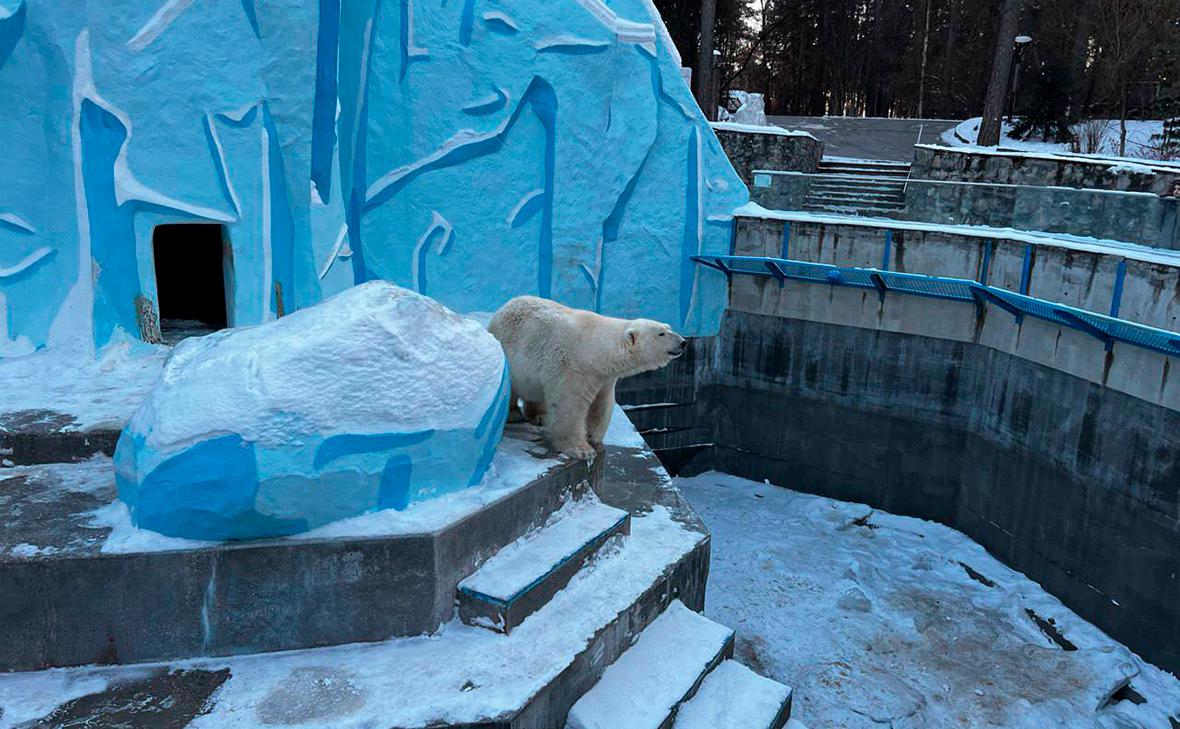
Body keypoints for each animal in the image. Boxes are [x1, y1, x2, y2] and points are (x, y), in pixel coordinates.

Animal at [490, 293, 689, 452]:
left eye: (669, 327)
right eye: (661, 333)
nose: (683, 342)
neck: (594, 349)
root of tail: (504, 306)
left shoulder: (604, 375)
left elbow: (602, 403)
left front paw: (594, 438)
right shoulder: (572, 368)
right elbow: (569, 405)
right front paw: (581, 450)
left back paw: (540, 415)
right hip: (509, 352)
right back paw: (513, 413)